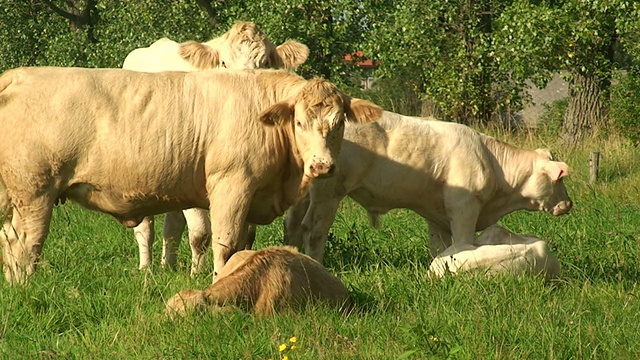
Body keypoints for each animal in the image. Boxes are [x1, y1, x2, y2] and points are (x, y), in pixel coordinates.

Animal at [0, 66, 382, 282]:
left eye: (339, 123)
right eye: (299, 122)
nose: (322, 166)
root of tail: (18, 75)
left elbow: (244, 242)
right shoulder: (232, 184)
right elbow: (225, 242)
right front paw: (217, 281)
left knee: (7, 238)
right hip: (35, 190)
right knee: (25, 242)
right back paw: (27, 287)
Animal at [122, 20, 310, 272]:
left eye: (265, 63)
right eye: (223, 63)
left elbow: (244, 235)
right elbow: (201, 233)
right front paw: (197, 273)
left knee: (172, 224)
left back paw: (168, 265)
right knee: (145, 227)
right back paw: (147, 268)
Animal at [282, 112, 572, 264]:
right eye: (559, 179)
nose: (568, 204)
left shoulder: (437, 217)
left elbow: (439, 248)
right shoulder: (464, 208)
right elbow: (463, 243)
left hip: (305, 195)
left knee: (292, 226)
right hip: (328, 193)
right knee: (313, 231)